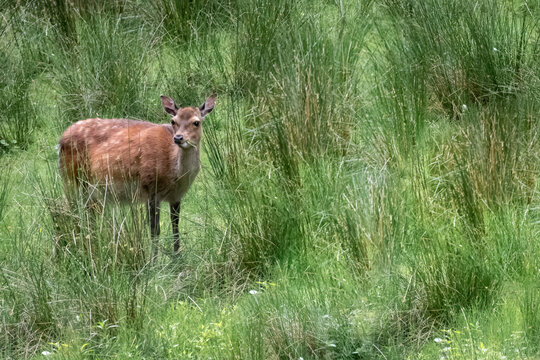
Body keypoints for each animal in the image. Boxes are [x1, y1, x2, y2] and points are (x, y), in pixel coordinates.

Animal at [59, 94, 217, 258]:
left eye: (196, 122)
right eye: (173, 121)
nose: (178, 138)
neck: (176, 177)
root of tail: (61, 140)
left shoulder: (176, 196)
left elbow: (175, 228)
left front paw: (177, 258)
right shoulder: (151, 189)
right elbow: (155, 231)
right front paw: (153, 261)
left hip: (92, 192)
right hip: (72, 180)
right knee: (66, 210)